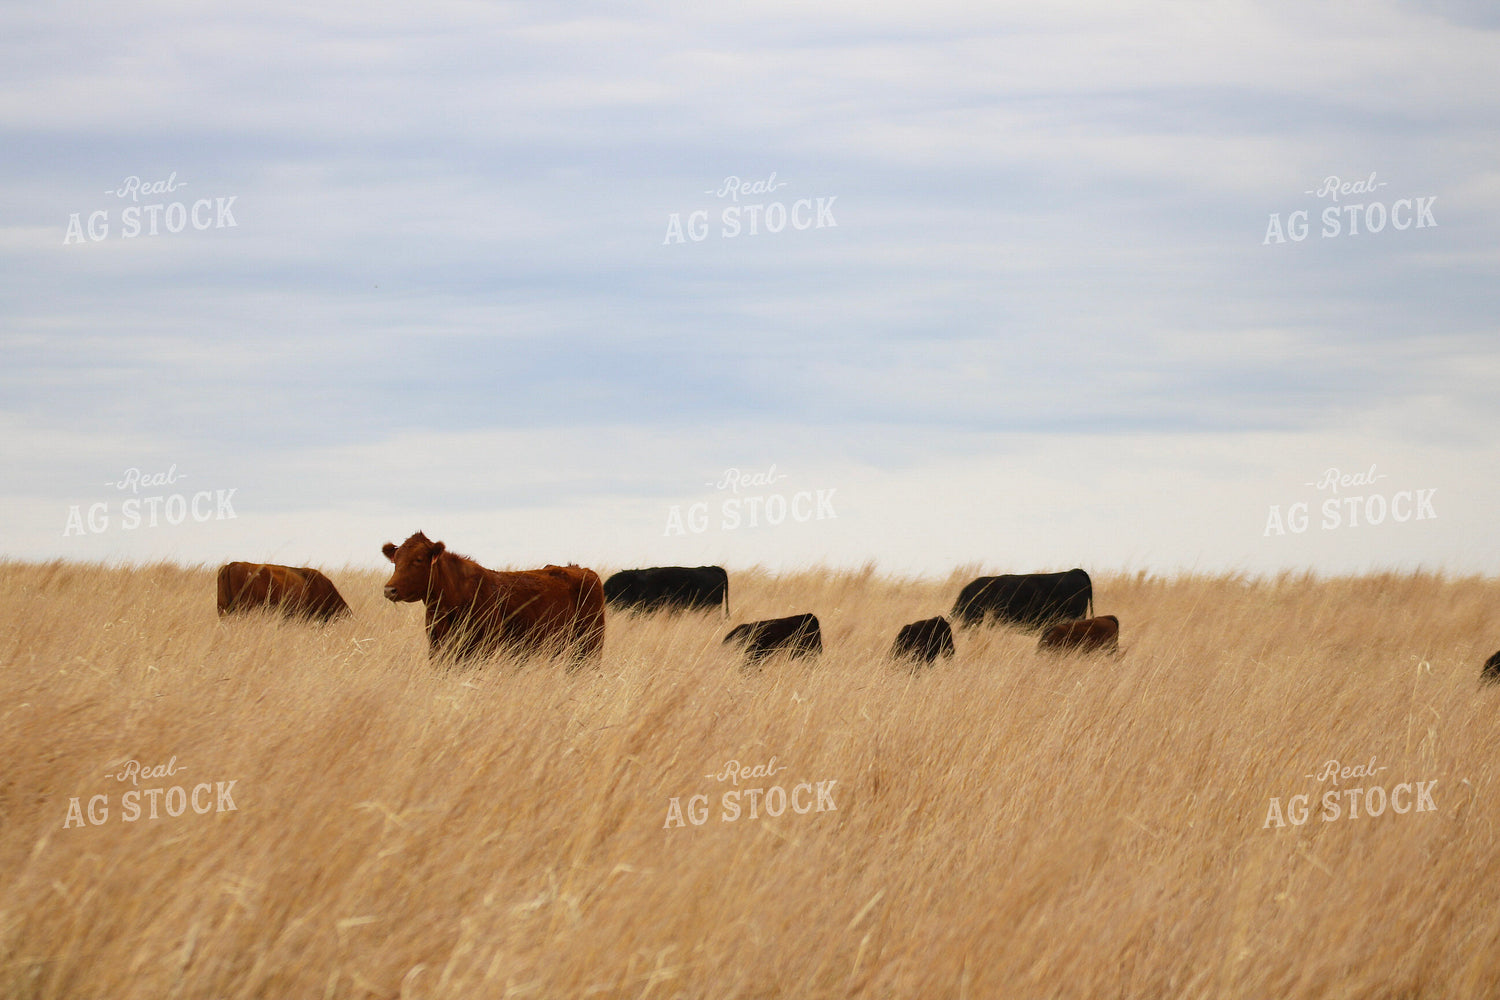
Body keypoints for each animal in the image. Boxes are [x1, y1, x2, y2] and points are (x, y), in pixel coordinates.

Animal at [381, 531, 605, 664]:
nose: (390, 590)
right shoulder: (437, 647)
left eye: (418, 560)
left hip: (589, 645)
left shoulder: (483, 647)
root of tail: (582, 570)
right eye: (395, 560)